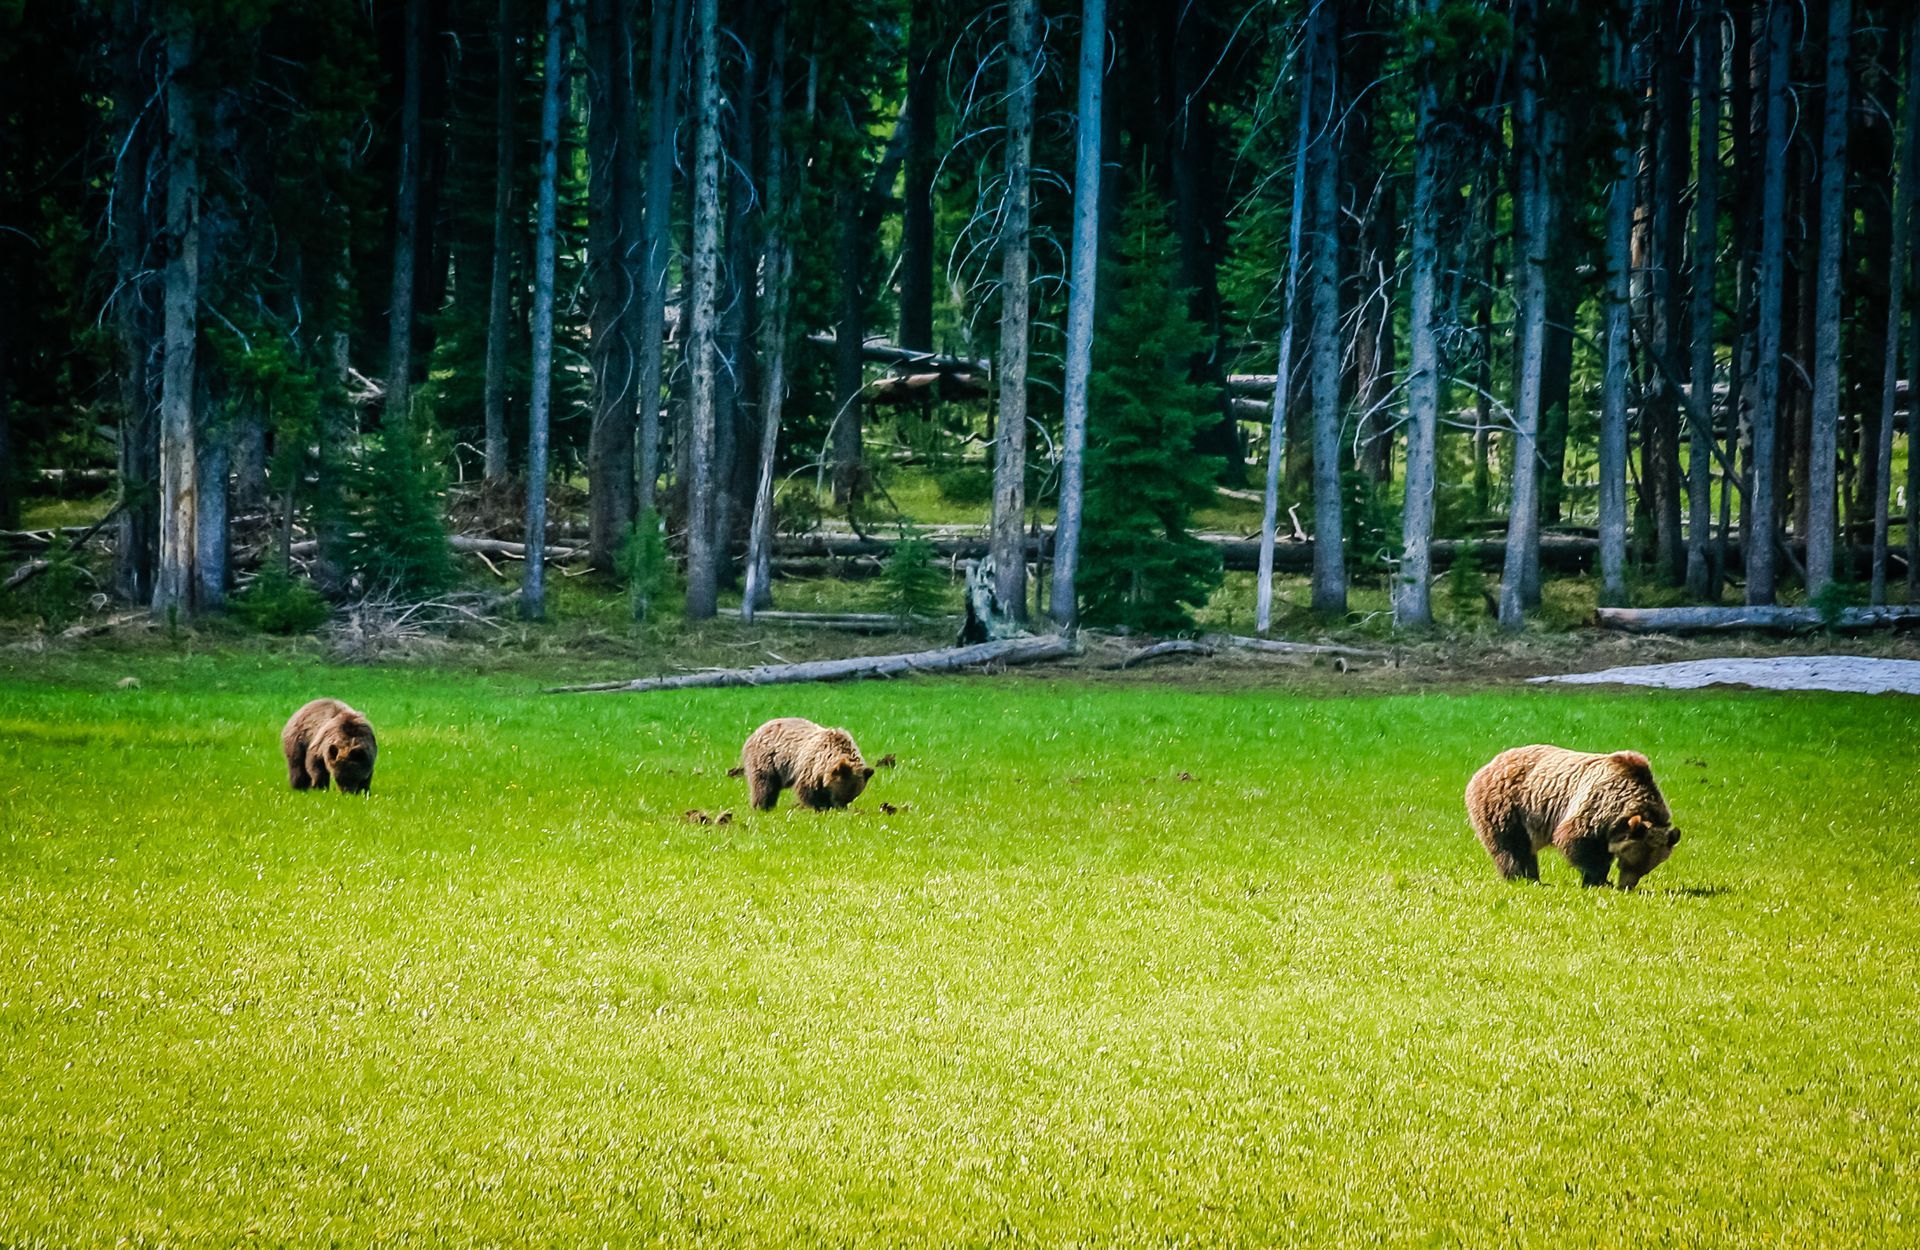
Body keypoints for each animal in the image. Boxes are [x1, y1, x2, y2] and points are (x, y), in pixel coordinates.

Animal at [740, 717, 874, 811]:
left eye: (852, 796)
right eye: (841, 795)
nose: (841, 807)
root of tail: (755, 732)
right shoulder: (810, 766)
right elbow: (807, 790)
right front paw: (820, 806)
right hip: (766, 760)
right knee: (764, 784)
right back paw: (762, 806)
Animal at [1465, 744, 1681, 890]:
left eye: (1647, 868)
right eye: (1628, 862)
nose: (1626, 886)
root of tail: (1488, 765)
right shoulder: (1595, 806)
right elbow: (1577, 842)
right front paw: (1598, 879)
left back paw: (1532, 877)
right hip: (1507, 805)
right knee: (1511, 846)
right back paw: (1520, 877)